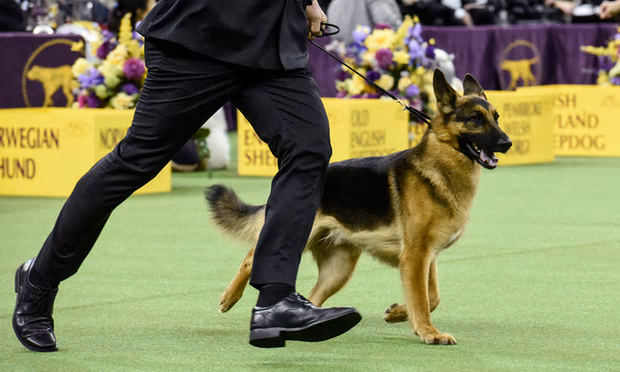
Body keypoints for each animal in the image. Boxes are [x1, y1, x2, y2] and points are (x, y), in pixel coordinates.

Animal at [206, 70, 512, 346]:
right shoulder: (415, 257)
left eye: (496, 118)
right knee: (252, 256)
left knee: (312, 295)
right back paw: (230, 297)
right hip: (303, 237)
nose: (507, 143)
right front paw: (429, 333)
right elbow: (423, 300)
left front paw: (399, 313)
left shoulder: (427, 257)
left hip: (338, 270)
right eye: (475, 119)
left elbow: (432, 297)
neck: (439, 165)